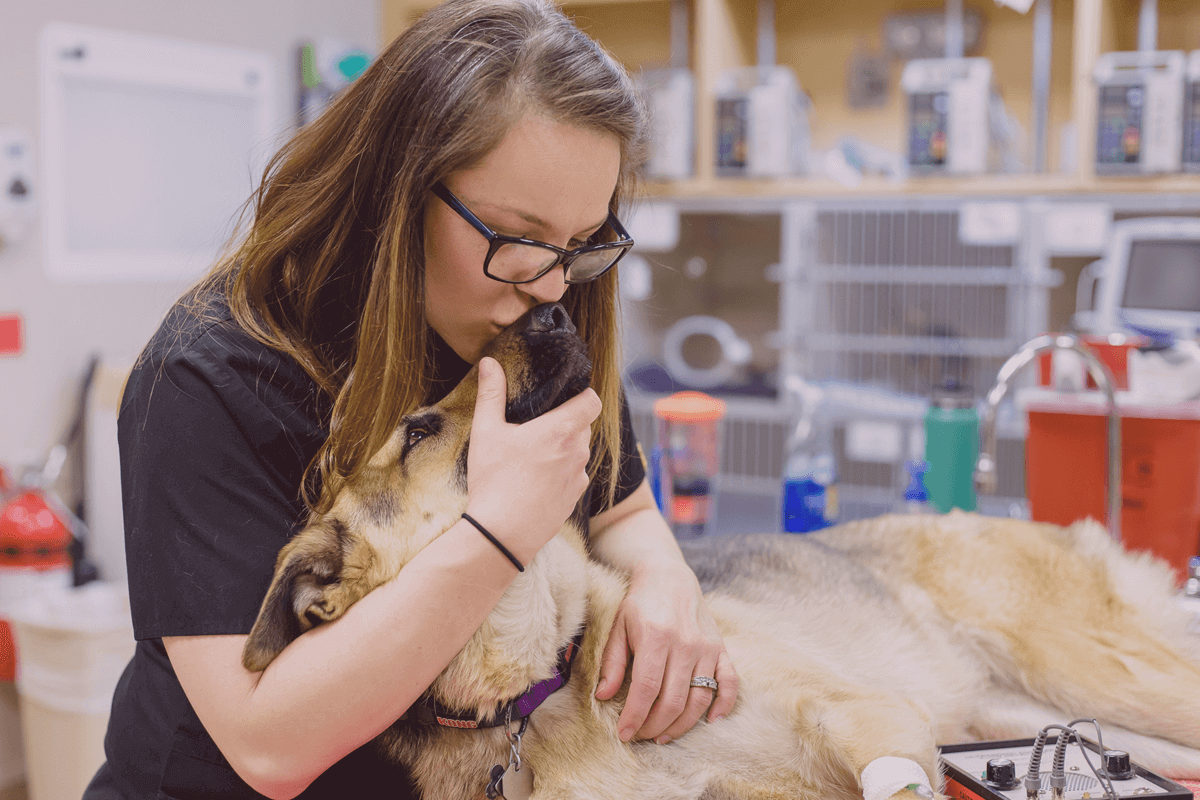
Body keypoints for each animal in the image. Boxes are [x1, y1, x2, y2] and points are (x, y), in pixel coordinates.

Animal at [241, 302, 1200, 800]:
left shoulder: (871, 715)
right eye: (419, 430)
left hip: (1099, 671)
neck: (543, 684)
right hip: (1068, 722)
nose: (551, 308)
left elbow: (895, 781)